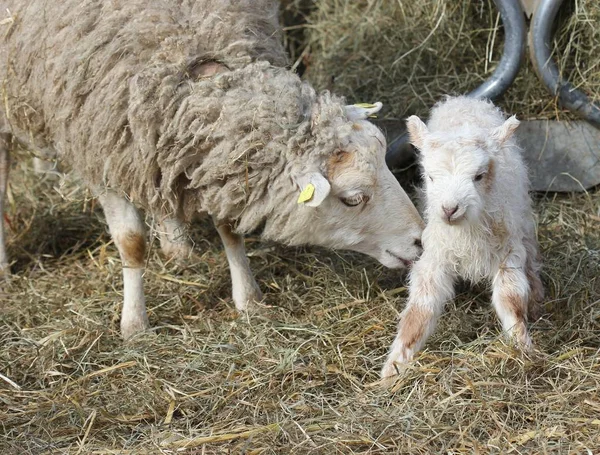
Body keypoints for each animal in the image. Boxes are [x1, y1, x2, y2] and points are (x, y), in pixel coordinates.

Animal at [0, 0, 424, 340]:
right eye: (353, 199)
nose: (421, 241)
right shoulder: (103, 154)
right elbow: (132, 244)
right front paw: (135, 326)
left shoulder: (216, 160)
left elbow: (229, 228)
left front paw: (248, 298)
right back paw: (5, 262)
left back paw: (176, 245)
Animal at [382, 96, 548, 378]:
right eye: (430, 176)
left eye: (479, 176)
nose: (449, 209)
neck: (465, 232)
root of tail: (466, 100)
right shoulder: (434, 256)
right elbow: (420, 310)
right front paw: (393, 368)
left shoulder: (508, 253)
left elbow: (510, 298)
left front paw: (523, 347)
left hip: (523, 215)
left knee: (531, 251)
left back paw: (536, 295)